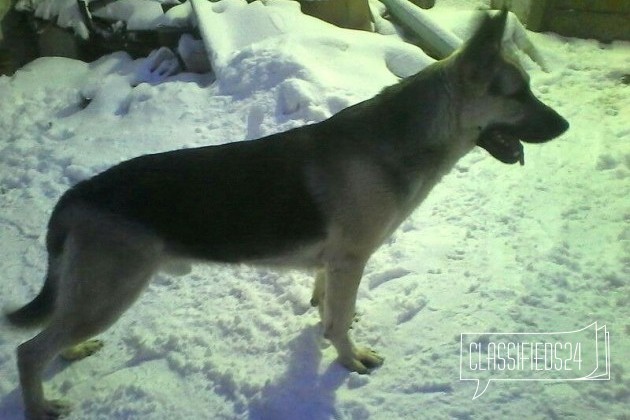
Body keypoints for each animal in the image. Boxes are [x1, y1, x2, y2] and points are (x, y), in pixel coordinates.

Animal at [4, 9, 572, 416]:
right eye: (518, 93)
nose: (566, 127)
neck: (407, 137)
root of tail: (75, 197)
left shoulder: (335, 265)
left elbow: (329, 307)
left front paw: (329, 326)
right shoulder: (350, 260)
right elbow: (339, 323)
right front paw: (349, 360)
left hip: (93, 295)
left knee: (55, 332)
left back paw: (71, 354)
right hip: (112, 292)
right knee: (29, 350)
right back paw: (41, 405)